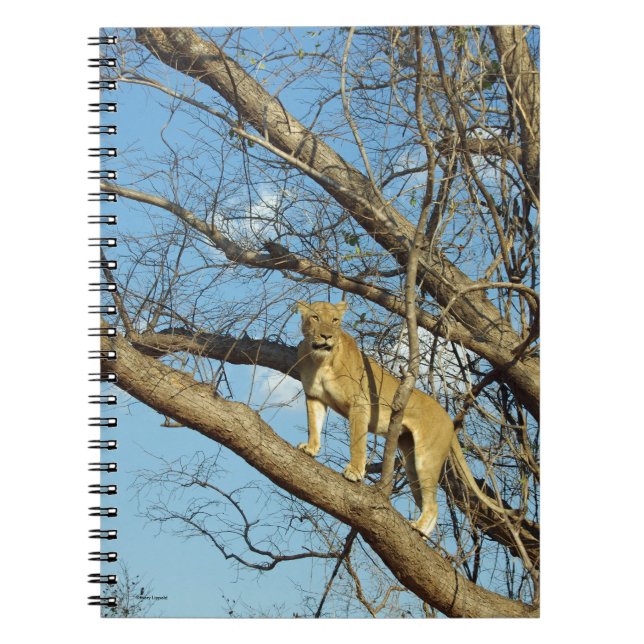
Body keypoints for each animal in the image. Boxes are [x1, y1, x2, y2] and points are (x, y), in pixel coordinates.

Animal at [295, 300, 509, 537]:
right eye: (315, 317)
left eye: (335, 320)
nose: (327, 336)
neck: (320, 361)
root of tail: (447, 418)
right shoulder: (314, 396)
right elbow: (313, 424)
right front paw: (311, 448)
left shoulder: (360, 403)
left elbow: (357, 442)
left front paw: (355, 471)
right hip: (410, 460)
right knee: (425, 498)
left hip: (427, 457)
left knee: (433, 504)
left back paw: (419, 529)